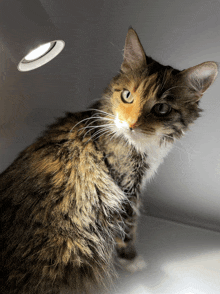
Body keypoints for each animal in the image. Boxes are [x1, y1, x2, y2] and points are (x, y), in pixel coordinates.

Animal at [0, 28, 218, 294]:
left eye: (162, 109)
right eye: (127, 96)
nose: (131, 124)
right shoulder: (126, 191)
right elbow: (127, 230)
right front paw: (132, 261)